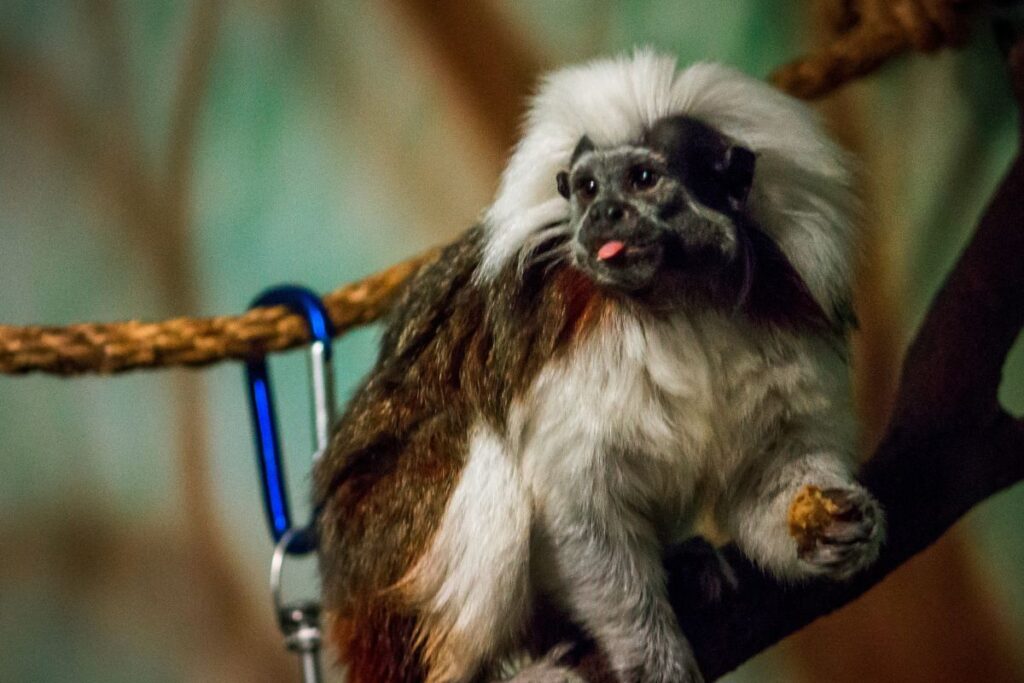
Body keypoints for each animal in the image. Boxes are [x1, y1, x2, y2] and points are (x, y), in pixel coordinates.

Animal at [313, 50, 884, 683]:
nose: (605, 214)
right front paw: (652, 656)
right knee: (479, 447)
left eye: (642, 179)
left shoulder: (781, 303)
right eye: (587, 188)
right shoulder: (578, 353)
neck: (680, 298)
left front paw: (832, 532)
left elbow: (767, 468)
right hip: (377, 552)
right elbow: (581, 508)